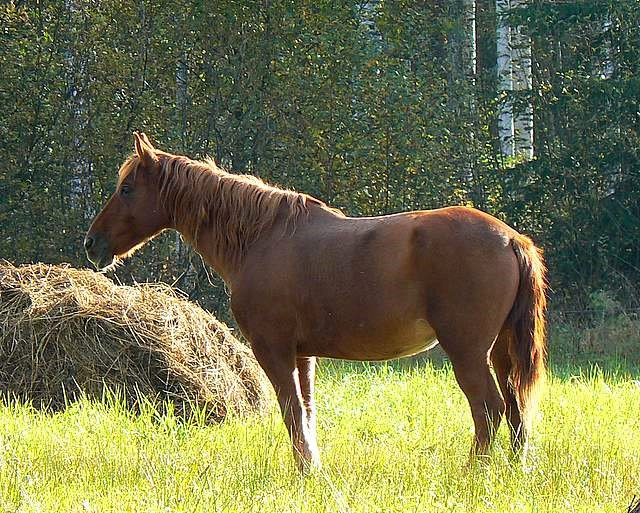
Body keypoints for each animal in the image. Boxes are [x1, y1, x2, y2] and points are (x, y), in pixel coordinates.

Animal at [85, 132, 547, 471]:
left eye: (126, 189)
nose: (93, 244)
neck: (261, 238)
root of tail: (511, 238)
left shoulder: (273, 350)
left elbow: (291, 413)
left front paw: (305, 472)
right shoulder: (303, 356)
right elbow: (306, 414)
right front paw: (313, 468)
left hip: (467, 351)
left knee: (489, 410)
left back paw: (474, 471)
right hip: (501, 352)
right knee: (515, 410)